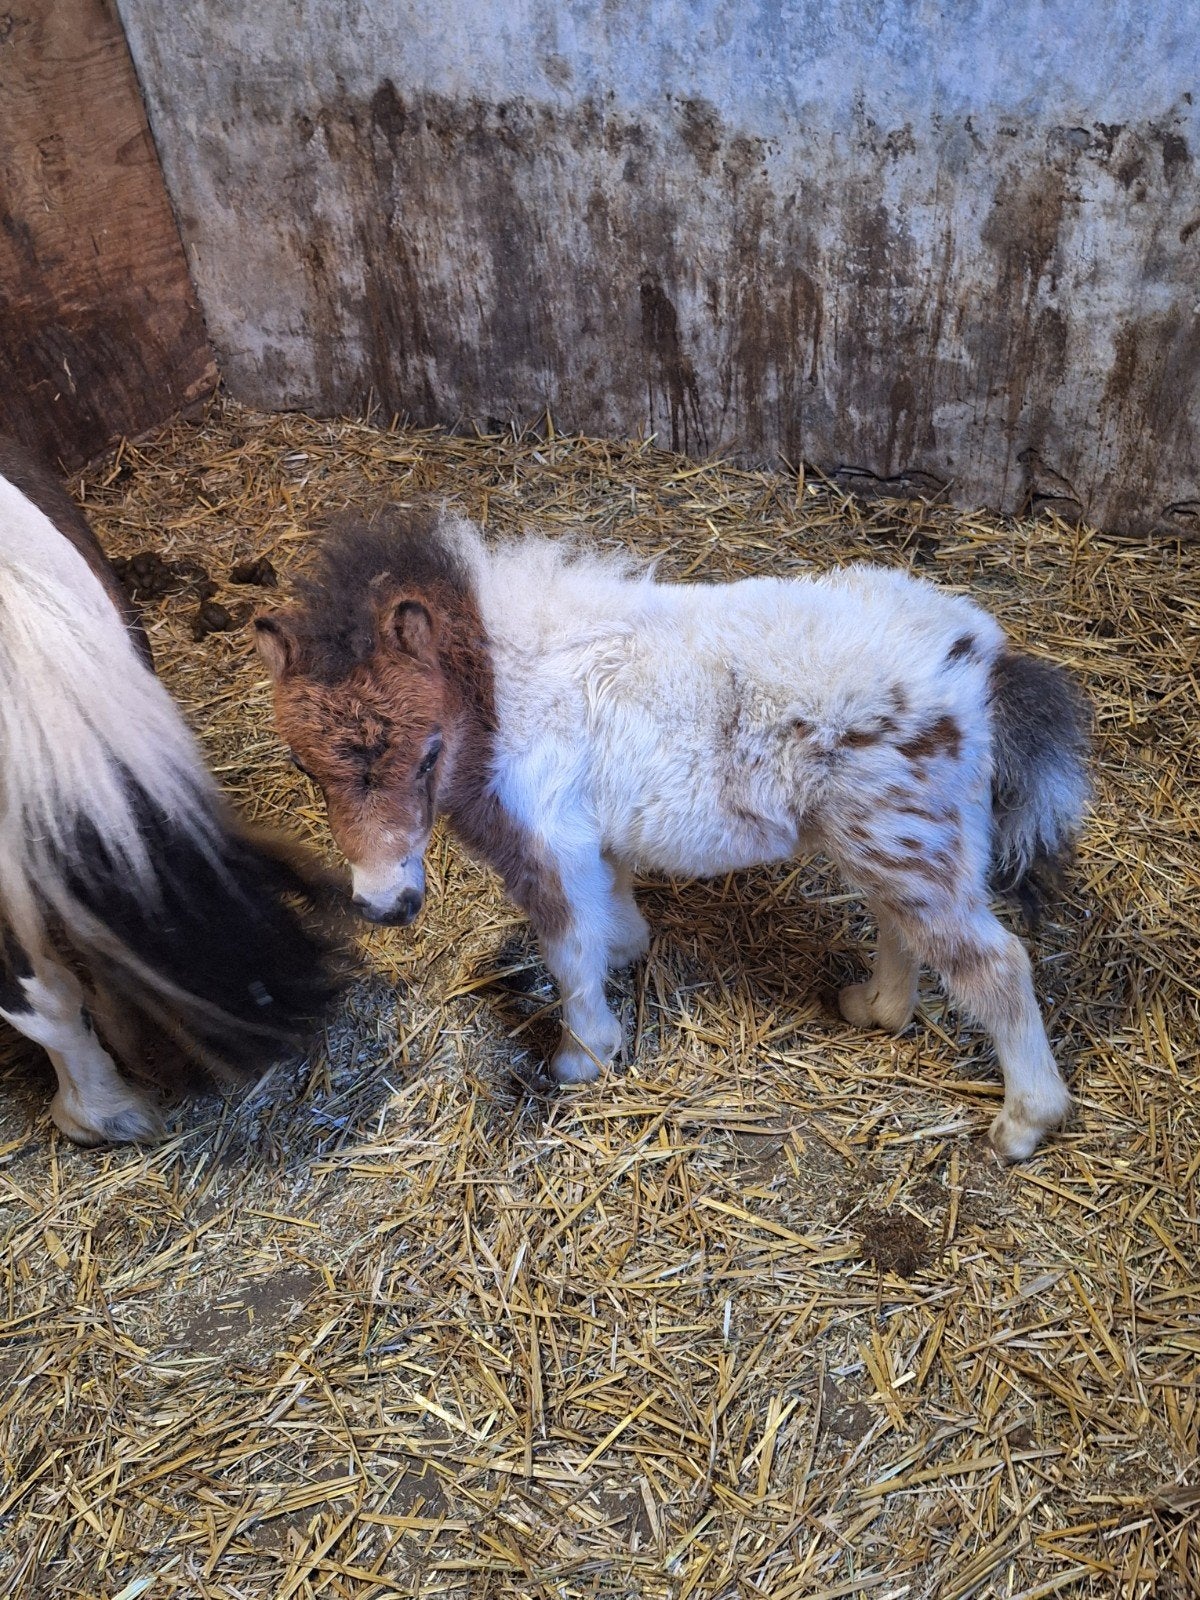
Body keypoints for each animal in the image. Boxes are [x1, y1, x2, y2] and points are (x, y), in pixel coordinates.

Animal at [255, 506, 1090, 1161]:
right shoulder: (593, 834)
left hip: (908, 841)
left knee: (994, 963)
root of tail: (981, 659)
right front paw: (628, 949)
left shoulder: (548, 841)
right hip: (894, 842)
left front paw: (583, 1058)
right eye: (302, 765)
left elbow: (568, 949)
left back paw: (1025, 1123)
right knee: (904, 928)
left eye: (428, 752)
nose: (385, 903)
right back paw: (876, 1008)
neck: (494, 683)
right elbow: (613, 903)